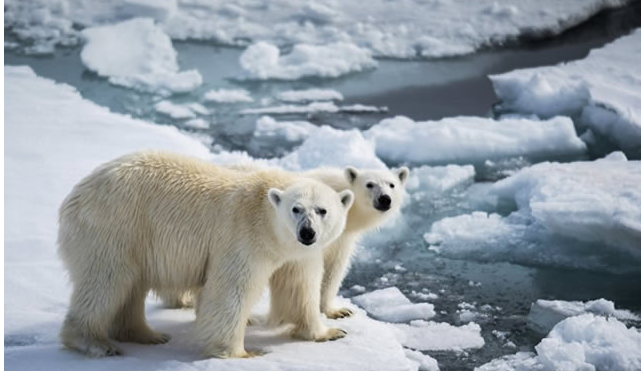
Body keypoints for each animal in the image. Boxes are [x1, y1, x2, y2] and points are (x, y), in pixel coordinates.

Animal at [57, 151, 352, 358]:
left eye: (322, 210)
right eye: (296, 209)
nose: (307, 233)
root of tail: (74, 196)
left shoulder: (296, 255)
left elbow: (299, 288)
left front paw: (329, 332)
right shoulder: (243, 236)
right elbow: (231, 290)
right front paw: (241, 353)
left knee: (129, 287)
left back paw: (146, 335)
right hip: (114, 226)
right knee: (106, 281)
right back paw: (94, 342)